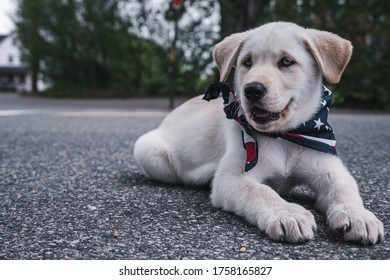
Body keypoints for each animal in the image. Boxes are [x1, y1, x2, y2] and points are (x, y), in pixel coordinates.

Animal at [133, 22, 382, 243]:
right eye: (247, 62)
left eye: (286, 61)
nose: (252, 90)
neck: (284, 136)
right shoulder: (232, 178)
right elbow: (261, 192)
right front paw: (287, 213)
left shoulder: (331, 170)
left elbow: (345, 190)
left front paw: (358, 215)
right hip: (147, 150)